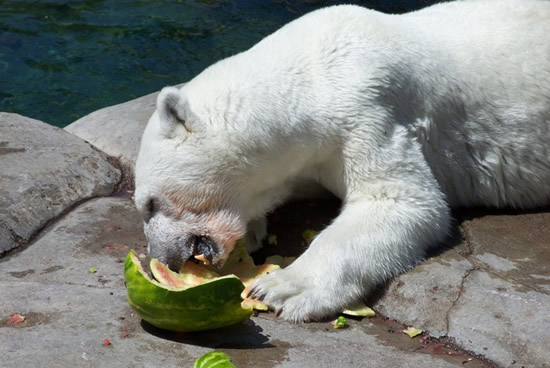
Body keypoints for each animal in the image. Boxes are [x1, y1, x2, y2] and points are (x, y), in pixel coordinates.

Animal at [136, 0, 550, 322]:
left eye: (150, 203)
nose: (162, 259)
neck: (311, 81)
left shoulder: (368, 110)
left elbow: (402, 201)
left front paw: (281, 288)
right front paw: (252, 232)